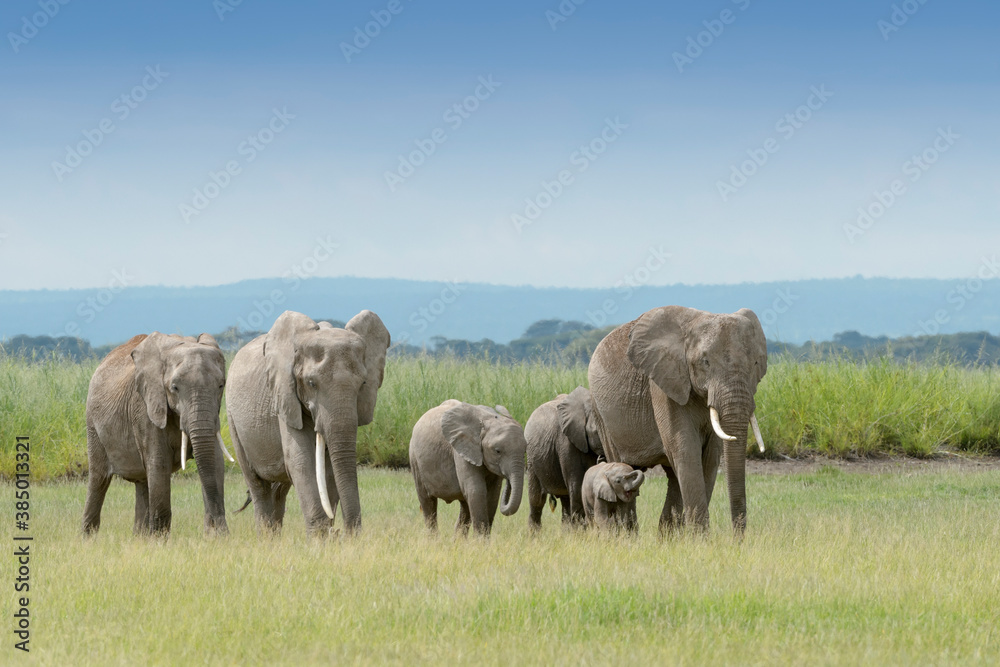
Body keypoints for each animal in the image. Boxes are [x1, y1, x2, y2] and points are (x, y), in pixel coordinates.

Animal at [82, 332, 232, 536]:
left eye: (221, 385)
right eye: (175, 388)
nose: (222, 529)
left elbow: (215, 461)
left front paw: (216, 537)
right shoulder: (146, 408)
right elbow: (159, 464)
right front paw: (160, 540)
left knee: (143, 482)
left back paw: (139, 538)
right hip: (93, 424)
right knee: (99, 479)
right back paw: (88, 538)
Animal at [225, 310, 389, 536]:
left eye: (363, 383)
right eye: (311, 383)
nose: (346, 534)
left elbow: (328, 468)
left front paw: (327, 534)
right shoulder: (284, 395)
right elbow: (300, 460)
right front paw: (320, 538)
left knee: (280, 490)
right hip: (232, 417)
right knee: (258, 486)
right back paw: (265, 538)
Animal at [409, 400, 526, 536]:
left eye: (525, 451)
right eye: (497, 451)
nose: (507, 479)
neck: (489, 419)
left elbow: (493, 494)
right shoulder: (462, 450)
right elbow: (477, 491)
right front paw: (481, 541)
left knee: (465, 507)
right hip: (415, 460)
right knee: (428, 502)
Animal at [524, 386, 604, 529]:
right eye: (597, 431)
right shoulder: (565, 441)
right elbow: (577, 485)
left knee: (566, 501)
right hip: (531, 458)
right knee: (537, 500)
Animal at [588, 306, 767, 536]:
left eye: (756, 363)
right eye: (705, 362)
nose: (737, 540)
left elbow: (709, 457)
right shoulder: (664, 384)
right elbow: (686, 450)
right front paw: (702, 540)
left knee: (674, 476)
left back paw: (667, 537)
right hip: (601, 414)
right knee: (622, 464)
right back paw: (630, 536)